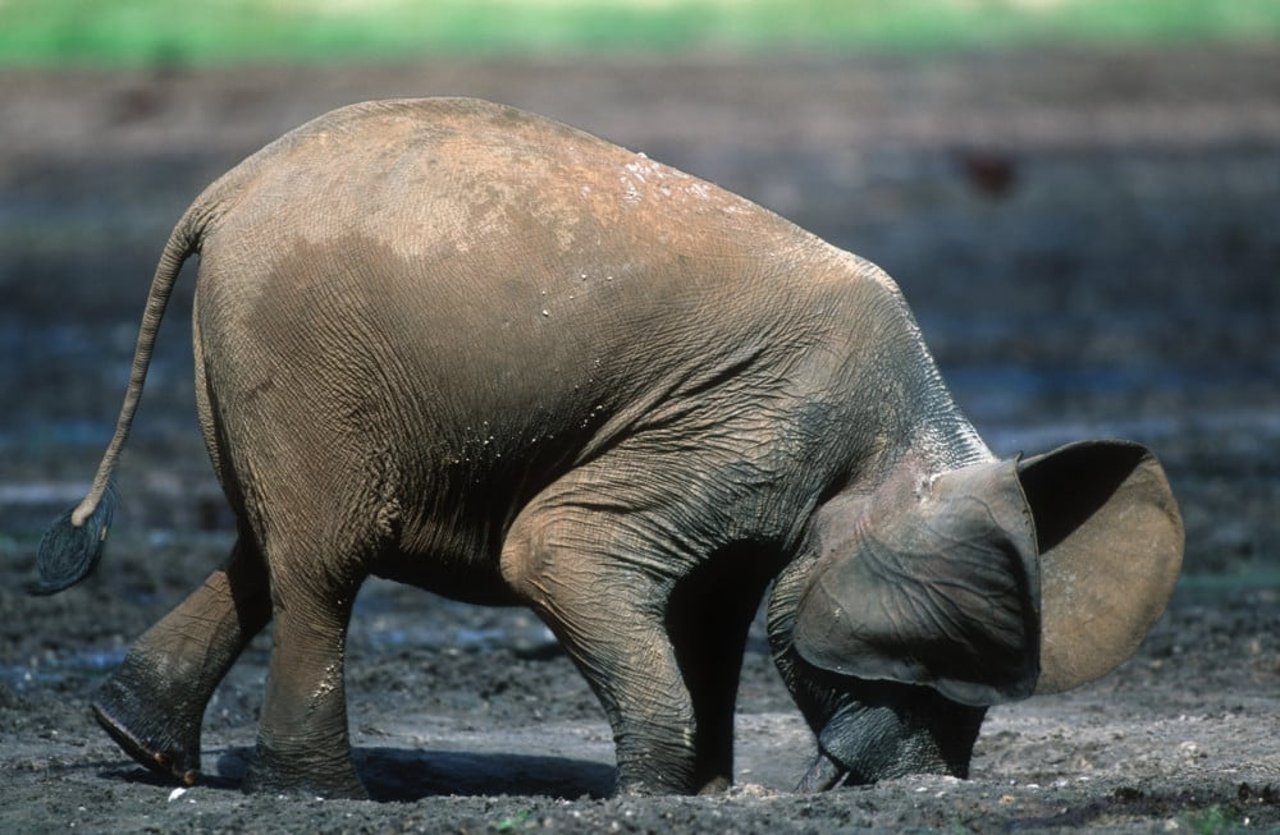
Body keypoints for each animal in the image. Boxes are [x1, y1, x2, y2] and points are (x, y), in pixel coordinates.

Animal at [35, 97, 1182, 794]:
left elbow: (713, 612)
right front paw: (655, 793)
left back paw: (141, 744)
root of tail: (225, 190)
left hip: (269, 358)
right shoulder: (761, 425)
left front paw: (707, 792)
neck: (908, 440)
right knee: (322, 562)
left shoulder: (754, 458)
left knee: (266, 550)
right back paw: (323, 792)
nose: (911, 788)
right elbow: (554, 549)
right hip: (305, 346)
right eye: (922, 676)